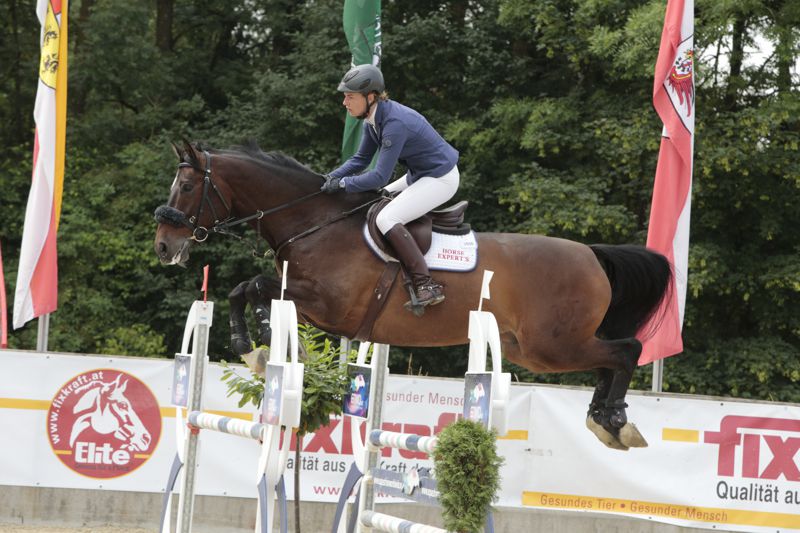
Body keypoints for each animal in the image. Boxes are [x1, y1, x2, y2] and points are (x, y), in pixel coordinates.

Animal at [154, 141, 673, 450]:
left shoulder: (331, 308)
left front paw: (259, 344)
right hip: (536, 350)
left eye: (186, 186)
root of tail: (591, 254)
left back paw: (614, 420)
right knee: (611, 358)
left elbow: (258, 287)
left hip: (553, 345)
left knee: (626, 350)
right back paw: (605, 419)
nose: (163, 246)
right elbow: (245, 288)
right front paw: (254, 346)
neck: (315, 223)